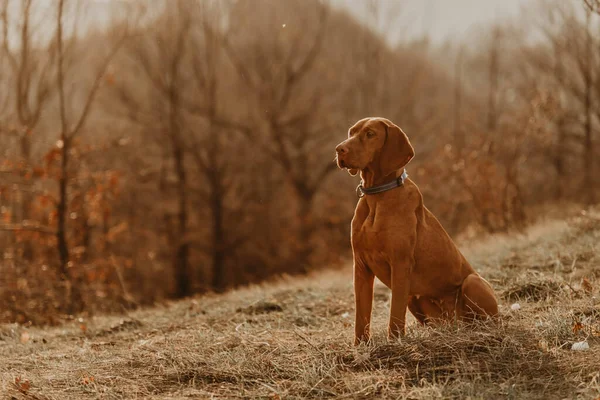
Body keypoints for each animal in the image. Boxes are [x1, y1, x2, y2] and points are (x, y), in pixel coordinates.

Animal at [336, 115, 500, 344]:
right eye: (351, 132)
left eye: (370, 134)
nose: (339, 149)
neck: (377, 196)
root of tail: (455, 323)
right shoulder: (360, 267)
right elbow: (361, 316)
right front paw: (361, 347)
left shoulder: (400, 264)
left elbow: (395, 314)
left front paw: (394, 343)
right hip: (416, 299)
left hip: (472, 283)